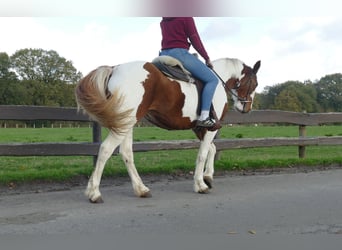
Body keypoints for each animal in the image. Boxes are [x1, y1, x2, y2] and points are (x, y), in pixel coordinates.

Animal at [75, 57, 260, 203]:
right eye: (255, 83)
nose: (247, 108)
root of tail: (115, 69)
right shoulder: (209, 129)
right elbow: (202, 154)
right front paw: (200, 184)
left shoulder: (200, 129)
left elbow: (212, 149)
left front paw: (207, 177)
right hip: (125, 124)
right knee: (106, 150)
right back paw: (94, 193)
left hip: (126, 123)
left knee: (126, 153)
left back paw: (141, 189)